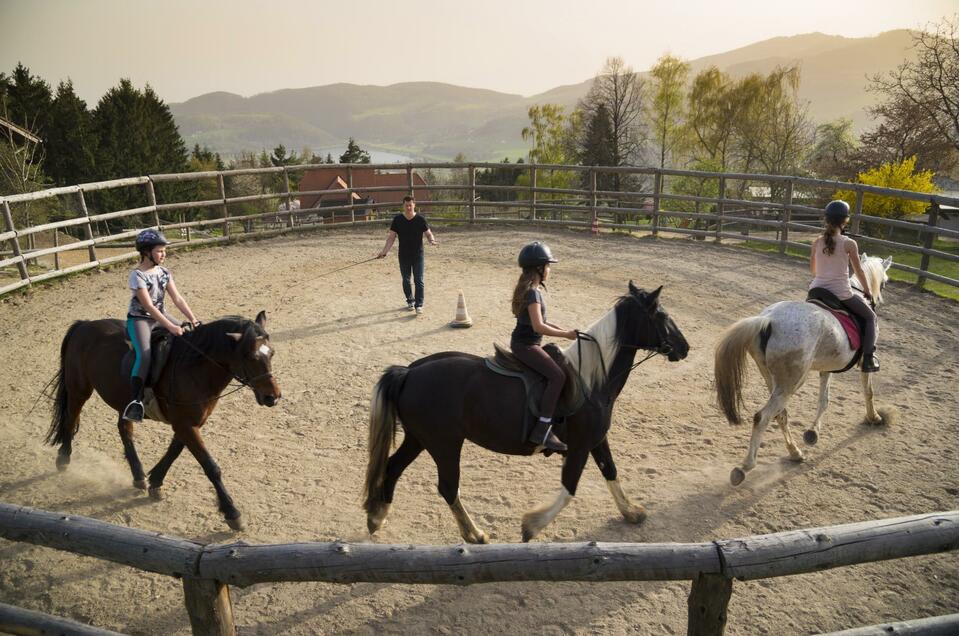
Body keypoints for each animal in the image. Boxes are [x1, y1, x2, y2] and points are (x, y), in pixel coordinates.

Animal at [47, 312, 280, 528]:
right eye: (250, 357)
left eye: (272, 353)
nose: (273, 397)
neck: (196, 368)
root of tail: (84, 325)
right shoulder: (185, 424)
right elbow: (210, 466)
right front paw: (232, 513)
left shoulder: (189, 423)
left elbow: (174, 450)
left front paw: (155, 482)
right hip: (79, 389)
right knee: (71, 418)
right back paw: (63, 459)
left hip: (122, 402)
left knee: (124, 429)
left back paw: (138, 475)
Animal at [364, 284, 688, 540]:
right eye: (662, 316)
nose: (684, 347)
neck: (593, 380)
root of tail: (409, 371)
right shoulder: (580, 445)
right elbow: (569, 488)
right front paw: (532, 525)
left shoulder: (596, 440)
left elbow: (611, 471)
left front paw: (631, 512)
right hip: (444, 444)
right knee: (447, 487)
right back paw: (474, 534)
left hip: (419, 438)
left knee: (392, 468)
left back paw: (377, 518)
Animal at [712, 253, 892, 486]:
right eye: (886, 281)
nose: (877, 300)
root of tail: (768, 319)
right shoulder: (862, 363)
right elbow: (868, 392)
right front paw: (874, 417)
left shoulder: (827, 367)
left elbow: (824, 400)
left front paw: (812, 433)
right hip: (792, 382)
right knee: (763, 417)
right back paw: (745, 467)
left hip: (775, 380)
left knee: (780, 414)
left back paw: (795, 452)